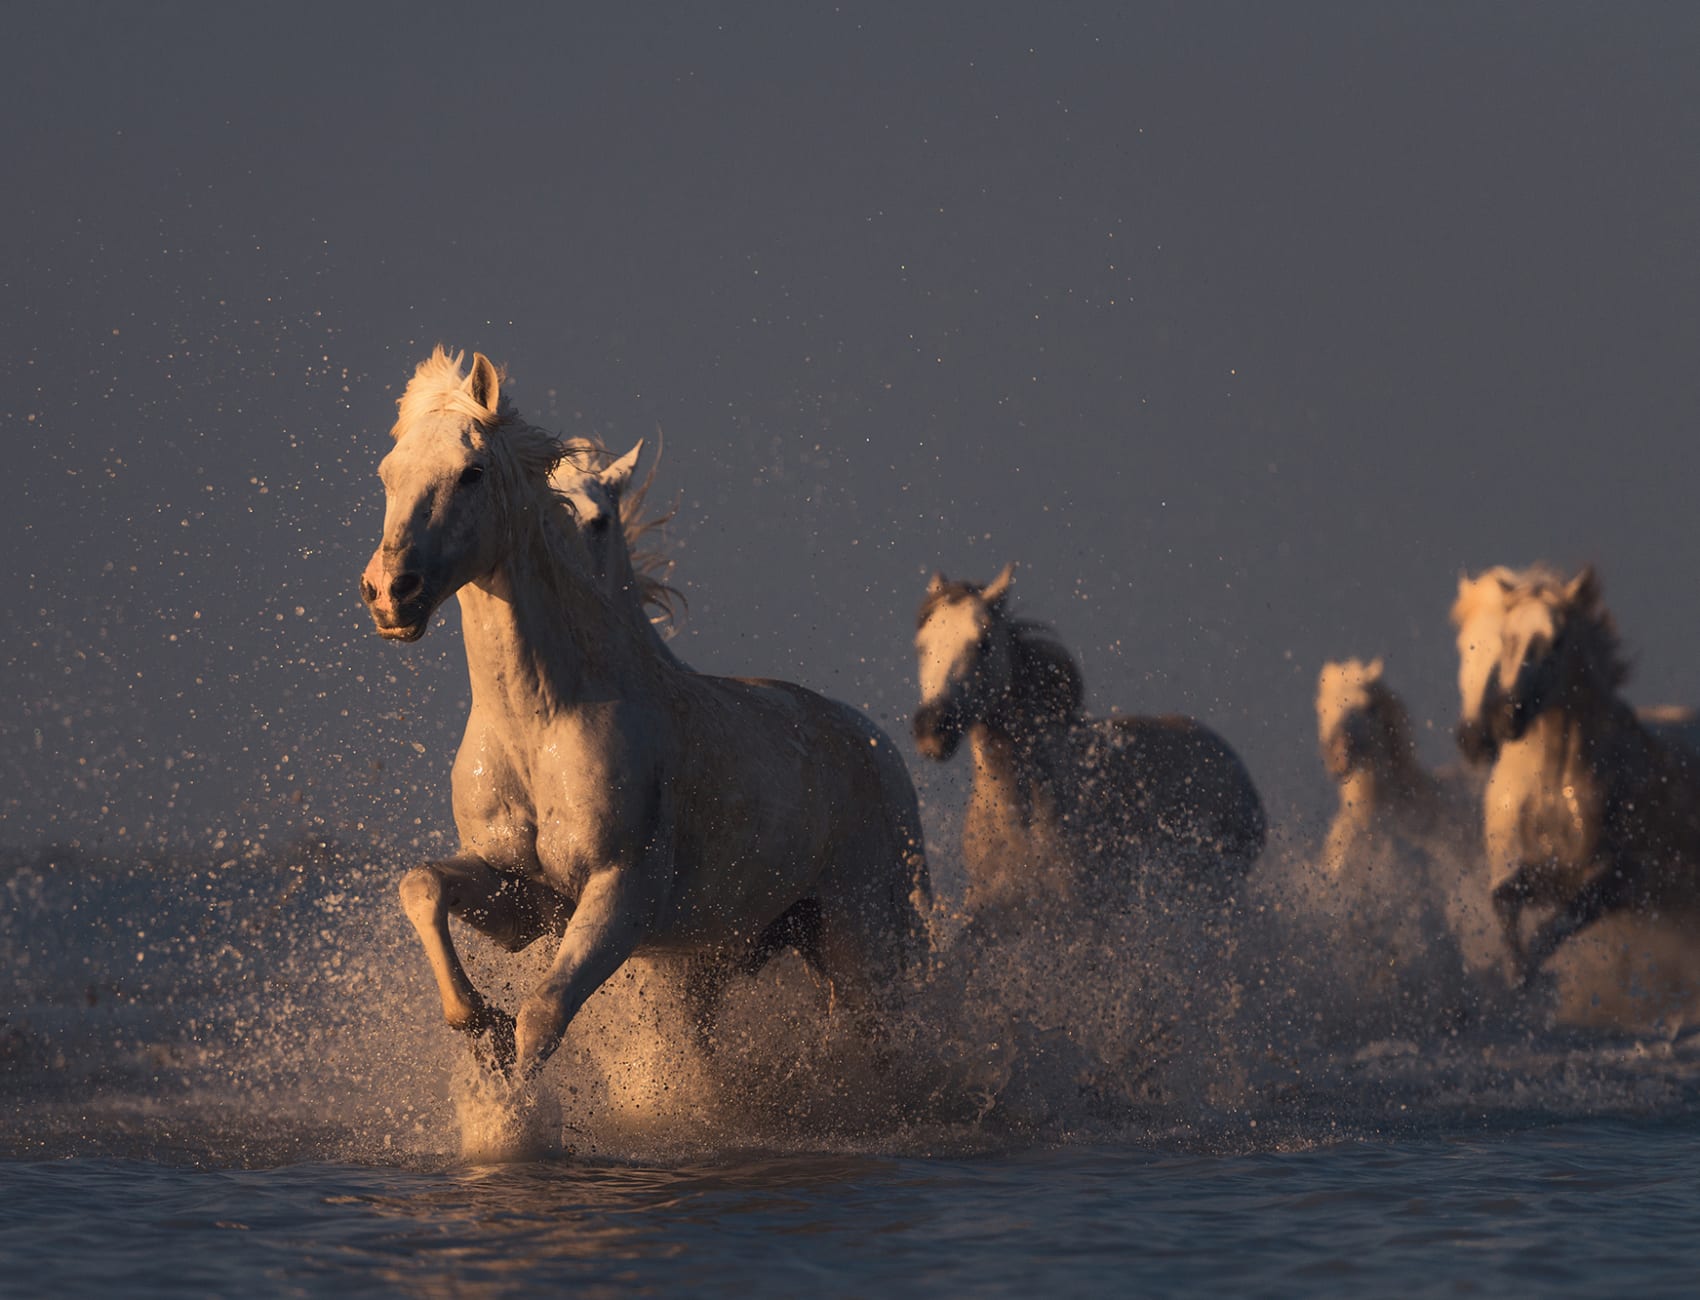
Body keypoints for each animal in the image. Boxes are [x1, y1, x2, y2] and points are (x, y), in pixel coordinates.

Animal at [360, 348, 930, 1080]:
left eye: (471, 471)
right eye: (387, 473)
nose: (388, 594)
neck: (540, 722)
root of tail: (877, 746)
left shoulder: (620, 896)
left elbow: (543, 1016)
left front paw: (512, 1088)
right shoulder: (523, 897)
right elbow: (422, 885)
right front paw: (478, 1022)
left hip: (862, 937)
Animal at [1468, 565, 1700, 986]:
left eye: (1556, 640)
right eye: (1506, 638)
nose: (1508, 717)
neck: (1552, 783)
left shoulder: (1616, 881)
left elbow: (1558, 924)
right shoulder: (1546, 871)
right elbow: (1505, 898)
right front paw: (1517, 974)